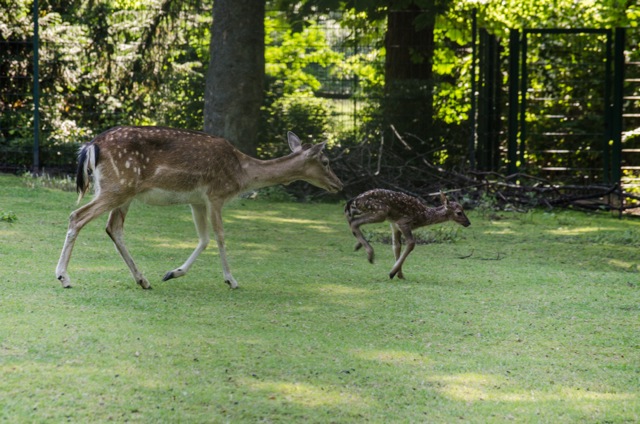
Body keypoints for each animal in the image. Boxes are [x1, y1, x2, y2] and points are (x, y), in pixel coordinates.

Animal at [55, 126, 343, 289]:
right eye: (326, 161)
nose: (339, 184)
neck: (242, 174)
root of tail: (91, 146)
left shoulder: (196, 200)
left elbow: (204, 238)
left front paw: (173, 272)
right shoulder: (216, 194)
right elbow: (220, 236)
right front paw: (231, 280)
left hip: (123, 192)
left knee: (113, 228)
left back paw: (143, 280)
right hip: (118, 186)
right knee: (77, 216)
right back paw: (64, 277)